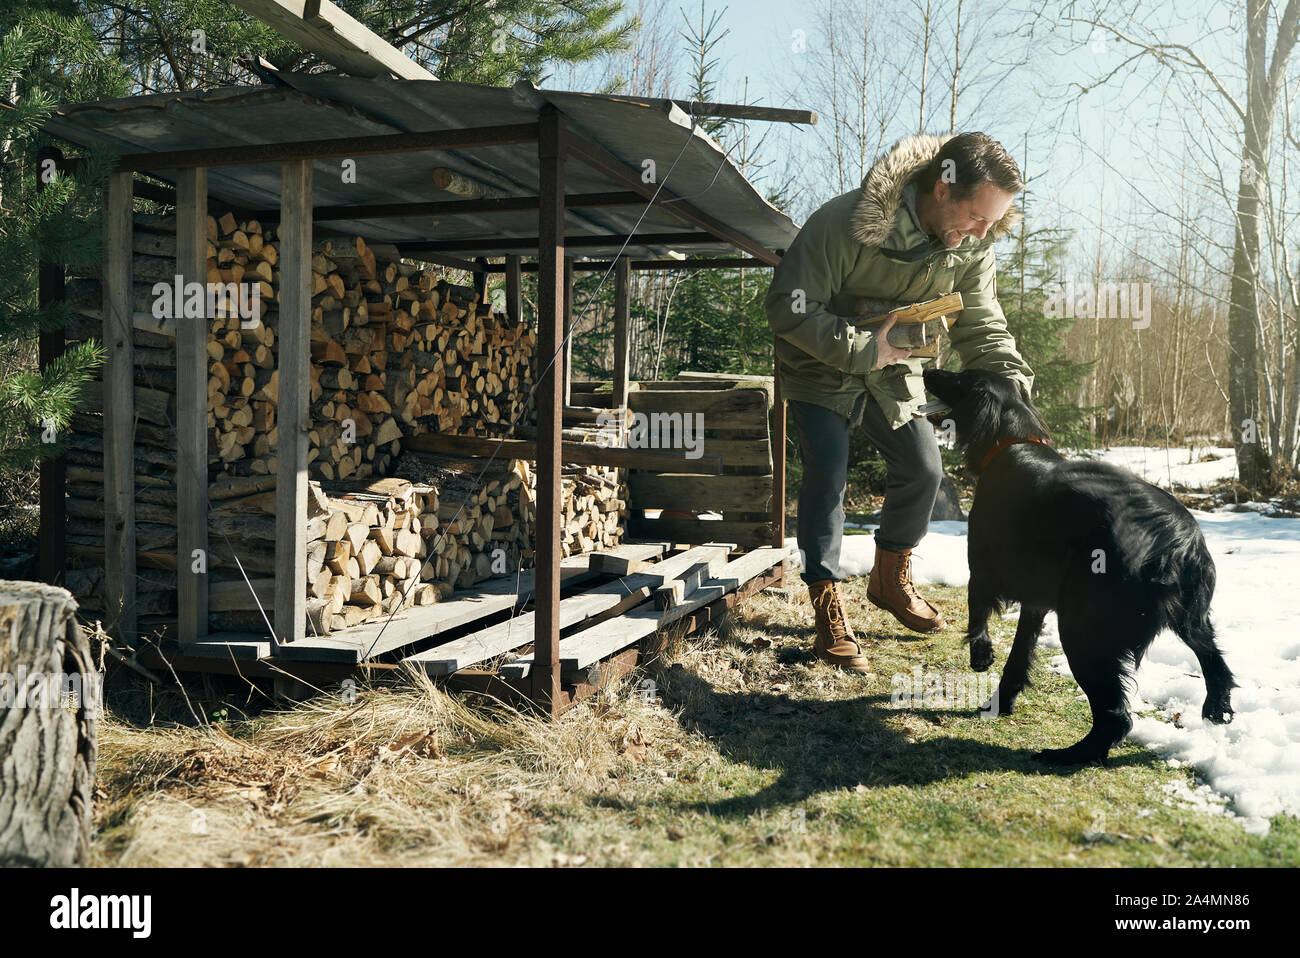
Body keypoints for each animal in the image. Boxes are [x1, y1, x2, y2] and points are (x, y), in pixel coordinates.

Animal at [920, 366, 1232, 764]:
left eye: (959, 377)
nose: (928, 369)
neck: (1012, 442)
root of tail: (1176, 540)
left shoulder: (983, 568)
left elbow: (977, 613)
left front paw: (981, 656)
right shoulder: (1035, 600)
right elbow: (1019, 655)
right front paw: (1001, 702)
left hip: (1082, 627)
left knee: (1116, 716)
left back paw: (1070, 756)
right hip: (1190, 620)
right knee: (1216, 664)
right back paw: (1217, 710)